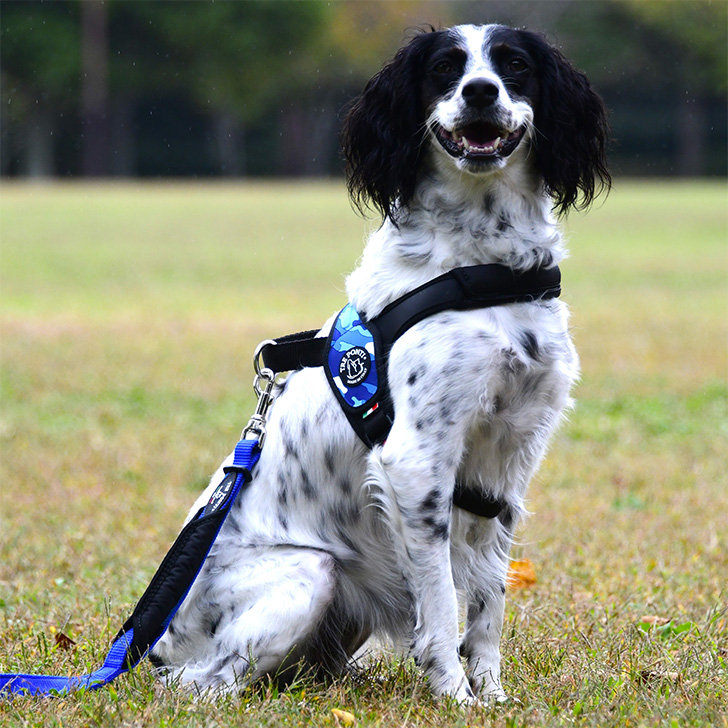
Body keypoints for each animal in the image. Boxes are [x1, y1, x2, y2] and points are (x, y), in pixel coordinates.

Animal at [150, 23, 610, 703]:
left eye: (514, 65)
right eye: (445, 68)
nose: (479, 91)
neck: (484, 270)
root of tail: (152, 646)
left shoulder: (506, 463)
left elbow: (489, 601)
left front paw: (492, 693)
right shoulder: (416, 462)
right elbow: (441, 603)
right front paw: (456, 696)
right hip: (310, 572)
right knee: (205, 682)